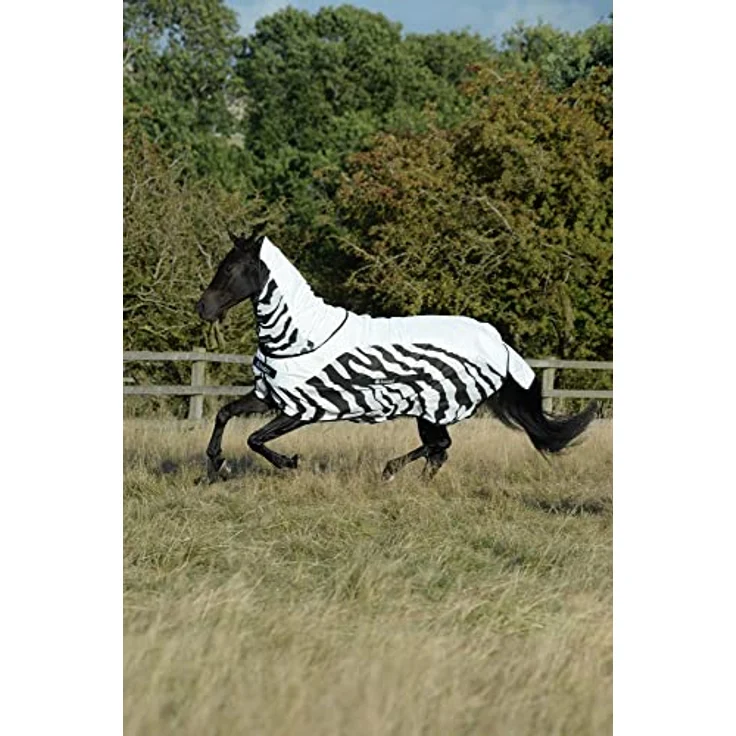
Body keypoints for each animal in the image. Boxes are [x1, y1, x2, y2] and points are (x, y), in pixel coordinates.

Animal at [196, 230, 597, 482]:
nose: (203, 308)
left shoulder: (303, 409)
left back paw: (390, 473)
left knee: (439, 447)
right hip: (429, 412)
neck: (299, 337)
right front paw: (218, 465)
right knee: (439, 451)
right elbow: (224, 414)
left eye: (230, 269)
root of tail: (498, 344)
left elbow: (255, 439)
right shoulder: (269, 397)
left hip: (432, 408)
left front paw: (288, 463)